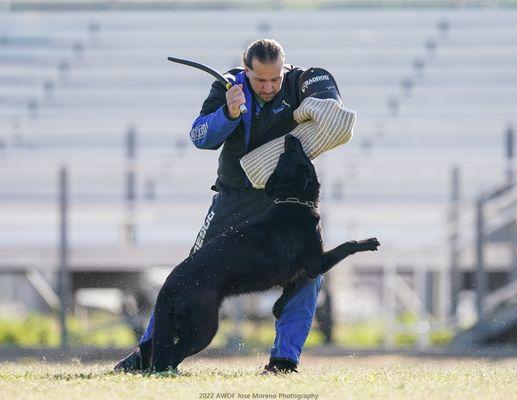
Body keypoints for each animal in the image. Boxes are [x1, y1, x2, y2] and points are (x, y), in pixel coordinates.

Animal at [149, 134, 378, 372]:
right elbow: (346, 246)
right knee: (173, 354)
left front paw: (278, 307)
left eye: (284, 155)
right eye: (293, 153)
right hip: (203, 328)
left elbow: (292, 289)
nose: (289, 136)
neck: (292, 200)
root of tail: (167, 288)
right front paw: (368, 242)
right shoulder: (316, 263)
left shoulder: (300, 271)